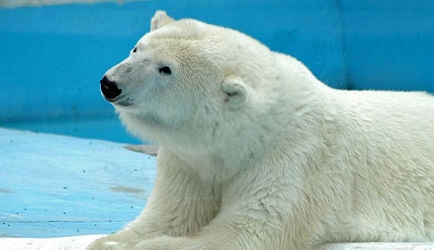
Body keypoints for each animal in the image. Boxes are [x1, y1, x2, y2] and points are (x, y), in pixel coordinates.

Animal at [88, 10, 434, 250]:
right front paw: (112, 241)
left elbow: (250, 230)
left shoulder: (293, 157)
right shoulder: (189, 163)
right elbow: (174, 214)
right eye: (137, 48)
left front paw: (153, 244)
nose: (111, 84)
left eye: (166, 69)